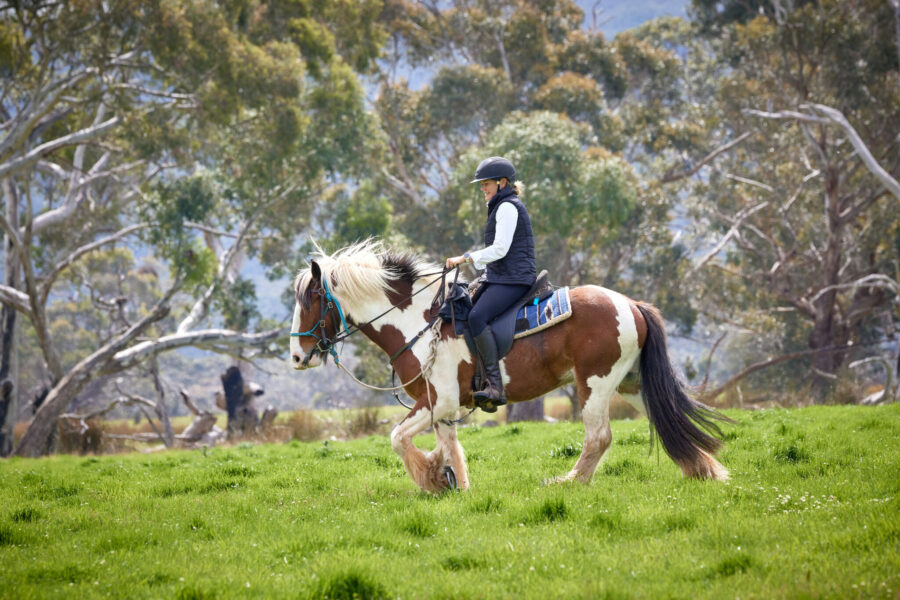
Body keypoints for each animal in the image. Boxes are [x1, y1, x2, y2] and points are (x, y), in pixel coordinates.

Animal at [289, 241, 730, 493]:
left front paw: (431, 478)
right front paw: (450, 482)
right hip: (631, 385)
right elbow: (449, 446)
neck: (420, 320)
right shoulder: (443, 408)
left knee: (599, 437)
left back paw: (569, 482)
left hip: (595, 384)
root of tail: (631, 304)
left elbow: (398, 438)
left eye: (312, 299)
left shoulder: (437, 401)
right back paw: (704, 471)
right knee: (666, 419)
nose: (297, 356)